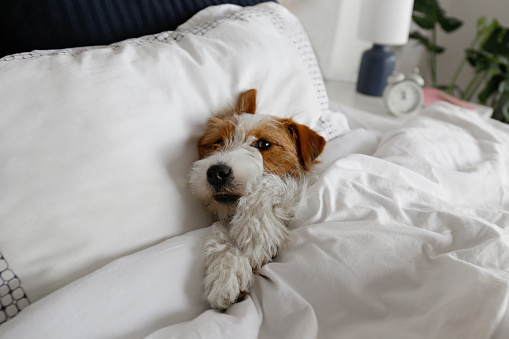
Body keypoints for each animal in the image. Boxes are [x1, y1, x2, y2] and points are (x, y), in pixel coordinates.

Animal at [188, 88, 326, 310]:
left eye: (264, 144)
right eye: (217, 142)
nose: (216, 172)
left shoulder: (296, 190)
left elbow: (270, 185)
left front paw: (257, 234)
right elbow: (221, 231)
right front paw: (225, 271)